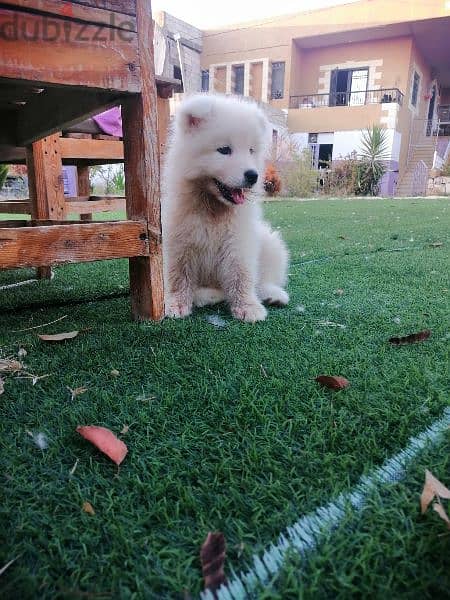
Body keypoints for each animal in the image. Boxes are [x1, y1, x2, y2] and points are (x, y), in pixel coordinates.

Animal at [161, 92, 288, 324]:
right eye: (224, 150)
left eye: (251, 151)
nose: (253, 175)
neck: (214, 208)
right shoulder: (179, 241)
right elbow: (179, 276)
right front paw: (175, 304)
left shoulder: (239, 242)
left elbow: (242, 275)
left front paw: (247, 307)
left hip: (270, 243)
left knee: (264, 278)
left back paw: (273, 294)